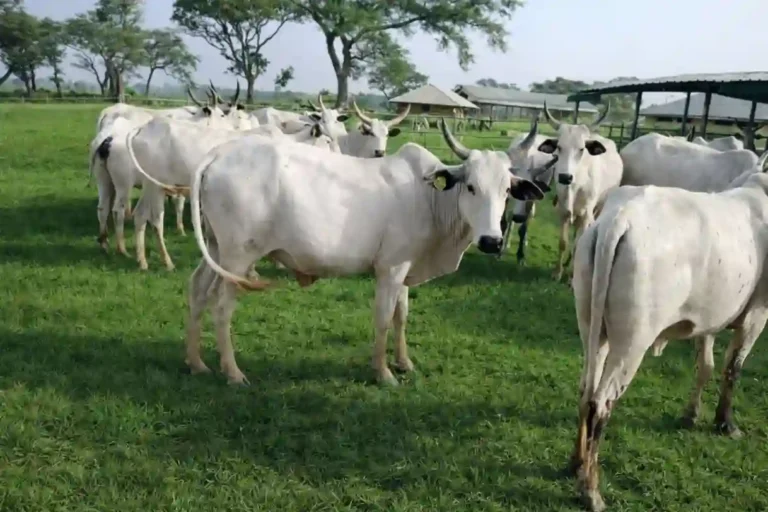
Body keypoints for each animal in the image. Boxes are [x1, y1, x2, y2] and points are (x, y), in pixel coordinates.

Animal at [125, 117, 338, 271]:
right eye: (327, 140)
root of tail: (147, 126)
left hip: (151, 186)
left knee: (140, 215)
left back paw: (141, 260)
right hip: (155, 186)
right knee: (155, 219)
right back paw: (166, 261)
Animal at [182, 119, 547, 386]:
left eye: (506, 190)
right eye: (471, 186)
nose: (492, 241)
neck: (430, 197)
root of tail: (220, 153)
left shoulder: (405, 269)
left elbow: (402, 315)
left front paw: (404, 362)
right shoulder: (391, 268)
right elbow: (384, 318)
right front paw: (383, 372)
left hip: (216, 248)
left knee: (198, 290)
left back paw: (196, 362)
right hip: (238, 258)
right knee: (222, 307)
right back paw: (233, 372)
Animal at [538, 102, 622, 282]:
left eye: (582, 149)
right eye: (559, 147)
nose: (565, 177)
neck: (576, 185)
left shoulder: (586, 215)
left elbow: (579, 245)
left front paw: (571, 279)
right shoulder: (563, 212)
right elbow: (563, 242)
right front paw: (557, 272)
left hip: (598, 208)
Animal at [569, 150, 768, 512]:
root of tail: (617, 218)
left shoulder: (706, 320)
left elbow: (706, 366)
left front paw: (691, 415)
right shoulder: (757, 314)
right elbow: (733, 368)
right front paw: (725, 423)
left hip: (592, 327)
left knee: (585, 390)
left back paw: (575, 464)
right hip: (633, 340)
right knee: (600, 403)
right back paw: (591, 491)